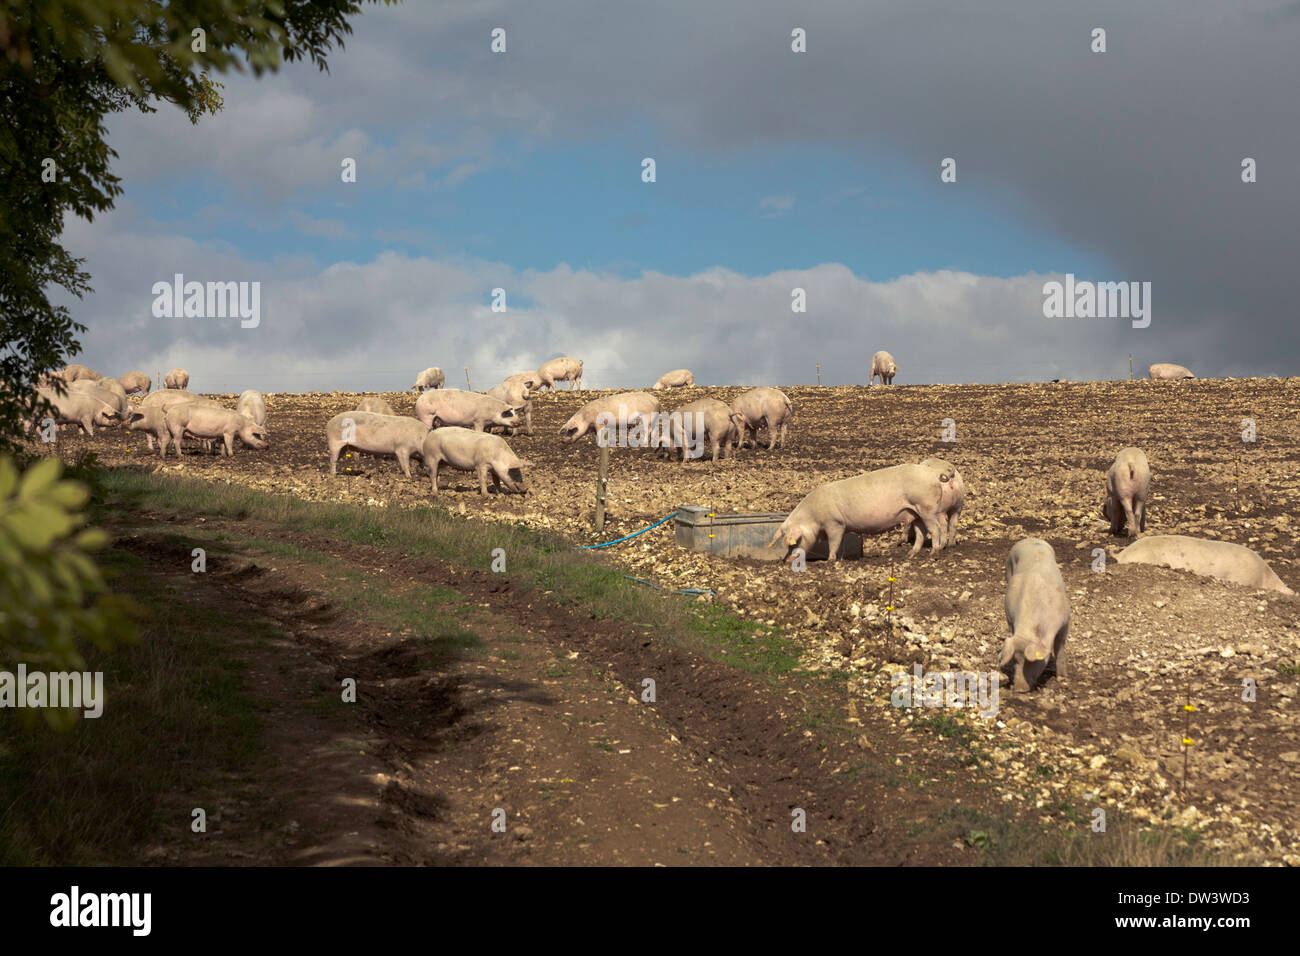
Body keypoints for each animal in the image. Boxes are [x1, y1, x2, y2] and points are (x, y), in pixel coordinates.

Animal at [764, 463, 951, 561]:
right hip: (916, 512)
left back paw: (935, 551)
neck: (813, 517)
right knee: (921, 532)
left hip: (927, 508)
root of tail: (932, 476)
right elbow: (840, 544)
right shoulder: (841, 527)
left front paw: (829, 560)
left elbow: (834, 542)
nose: (786, 561)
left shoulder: (835, 523)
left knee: (936, 528)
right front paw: (840, 559)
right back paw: (912, 554)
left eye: (794, 542)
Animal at [998, 541, 1071, 691]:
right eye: (1015, 660)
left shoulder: (1065, 620)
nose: (1019, 689)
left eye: (1032, 662)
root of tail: (1029, 539)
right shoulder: (1010, 620)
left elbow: (1060, 647)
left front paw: (1063, 678)